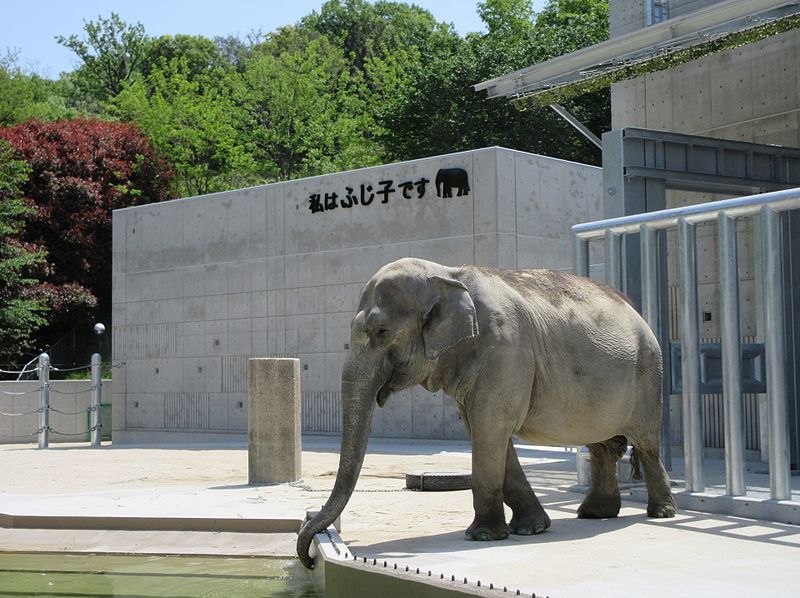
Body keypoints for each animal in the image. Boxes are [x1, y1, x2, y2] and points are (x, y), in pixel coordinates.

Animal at [296, 260, 680, 568]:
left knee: (645, 444)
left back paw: (661, 512)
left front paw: (482, 537)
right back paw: (594, 514)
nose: (311, 557)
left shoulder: (505, 348)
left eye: (381, 331)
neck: (447, 274)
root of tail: (637, 312)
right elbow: (487, 432)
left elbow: (490, 428)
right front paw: (531, 528)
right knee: (602, 447)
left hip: (649, 373)